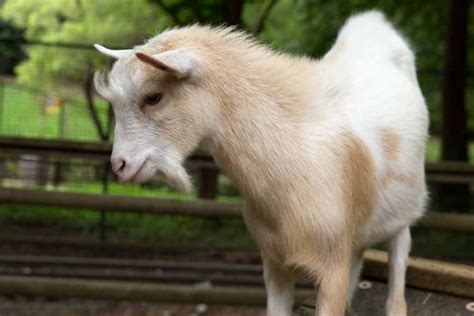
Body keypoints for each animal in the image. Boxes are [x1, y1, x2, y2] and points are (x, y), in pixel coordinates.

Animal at [94, 10, 428, 316]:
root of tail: (372, 25)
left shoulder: (331, 268)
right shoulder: (274, 263)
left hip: (405, 212)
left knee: (399, 259)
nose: (120, 165)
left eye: (153, 97)